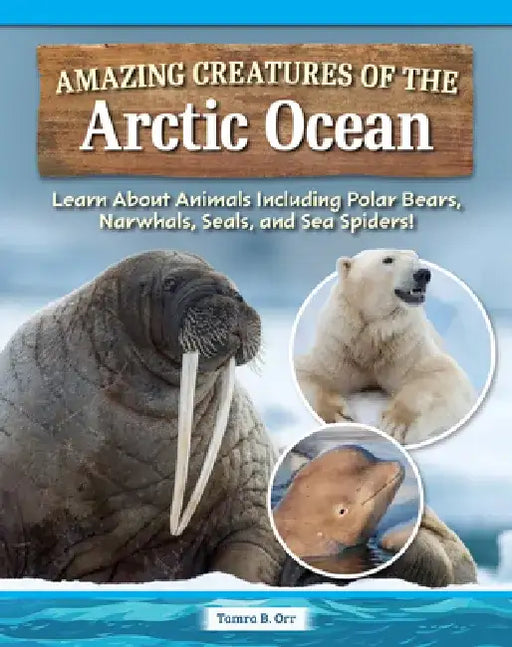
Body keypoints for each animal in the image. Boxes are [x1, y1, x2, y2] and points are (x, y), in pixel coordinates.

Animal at [294, 249, 476, 445]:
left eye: (415, 258)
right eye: (387, 259)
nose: (423, 273)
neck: (373, 334)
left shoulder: (405, 343)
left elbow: (440, 373)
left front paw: (396, 426)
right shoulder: (339, 343)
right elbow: (308, 372)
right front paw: (338, 417)